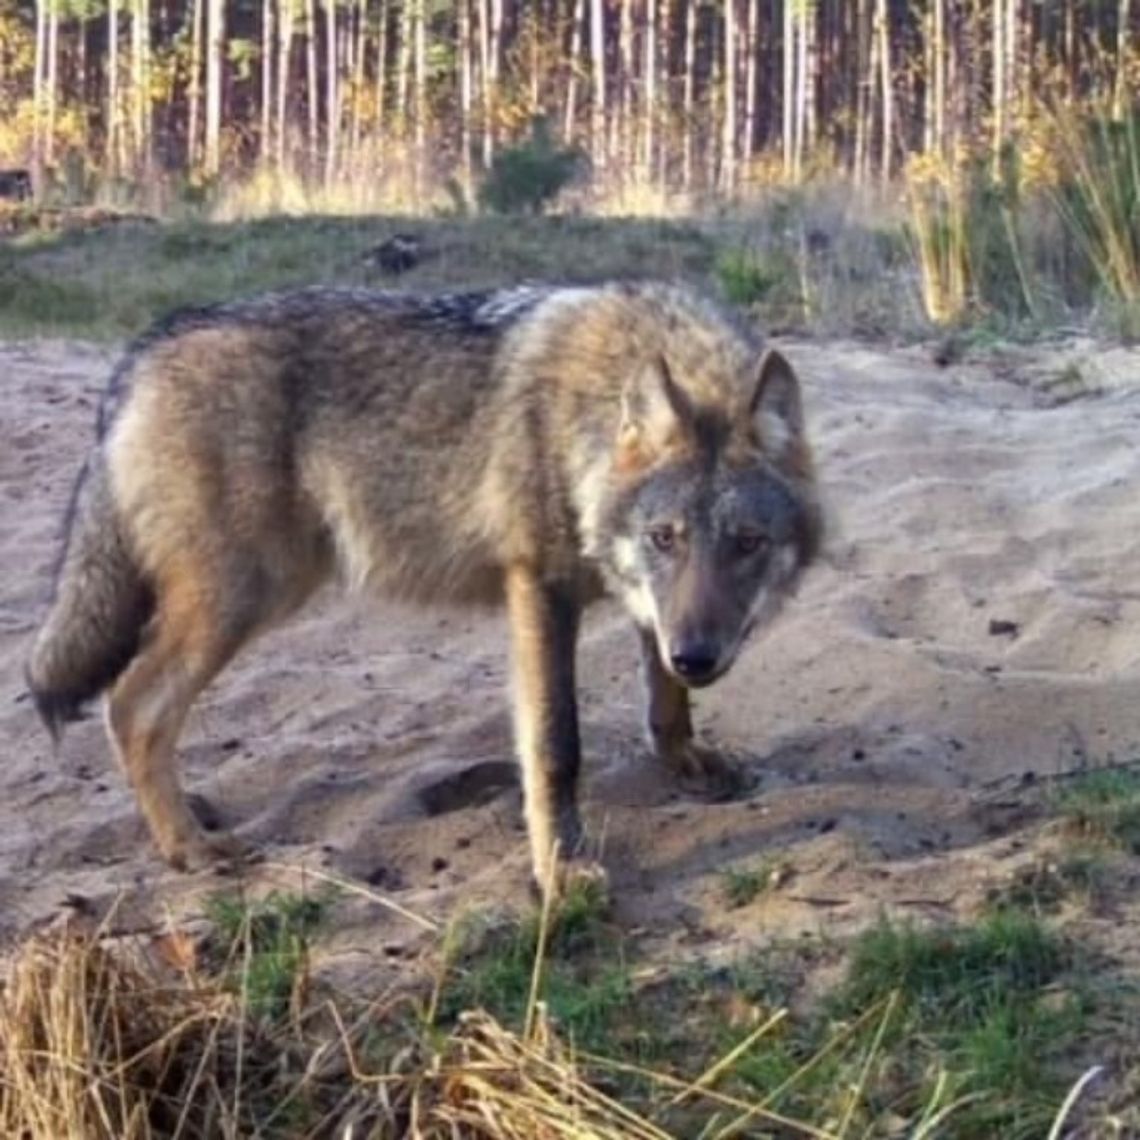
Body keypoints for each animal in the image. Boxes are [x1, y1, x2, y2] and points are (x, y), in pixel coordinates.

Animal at [26, 280, 825, 893]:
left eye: (746, 544)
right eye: (667, 538)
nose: (698, 655)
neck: (590, 417)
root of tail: (143, 348)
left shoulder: (649, 609)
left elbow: (664, 695)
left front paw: (682, 759)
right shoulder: (540, 590)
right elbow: (555, 747)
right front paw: (560, 872)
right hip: (245, 598)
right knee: (132, 705)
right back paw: (188, 847)